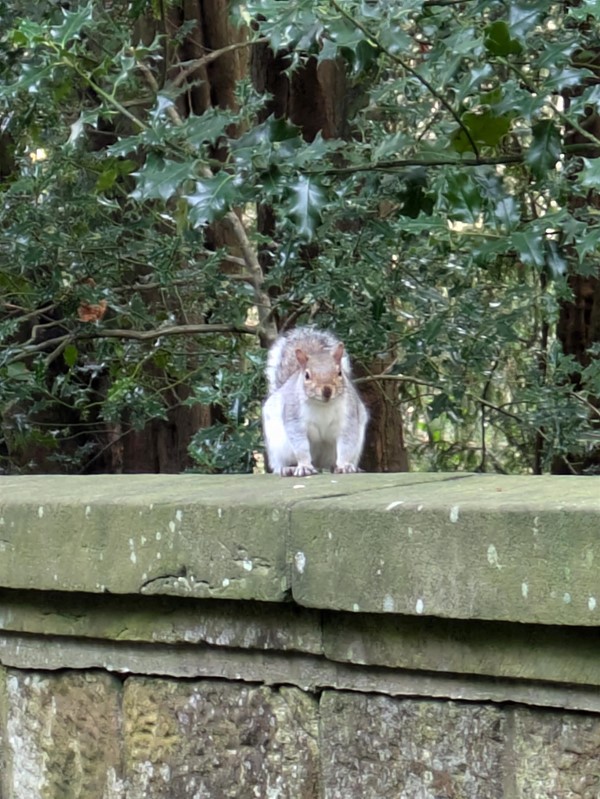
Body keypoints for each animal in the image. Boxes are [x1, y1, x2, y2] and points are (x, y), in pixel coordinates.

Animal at [262, 324, 368, 476]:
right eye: (307, 375)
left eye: (339, 372)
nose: (327, 390)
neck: (323, 405)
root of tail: (318, 464)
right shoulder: (295, 419)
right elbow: (300, 446)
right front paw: (304, 466)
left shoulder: (349, 418)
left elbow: (346, 445)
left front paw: (345, 466)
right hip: (279, 447)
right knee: (279, 464)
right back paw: (288, 468)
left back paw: (339, 466)